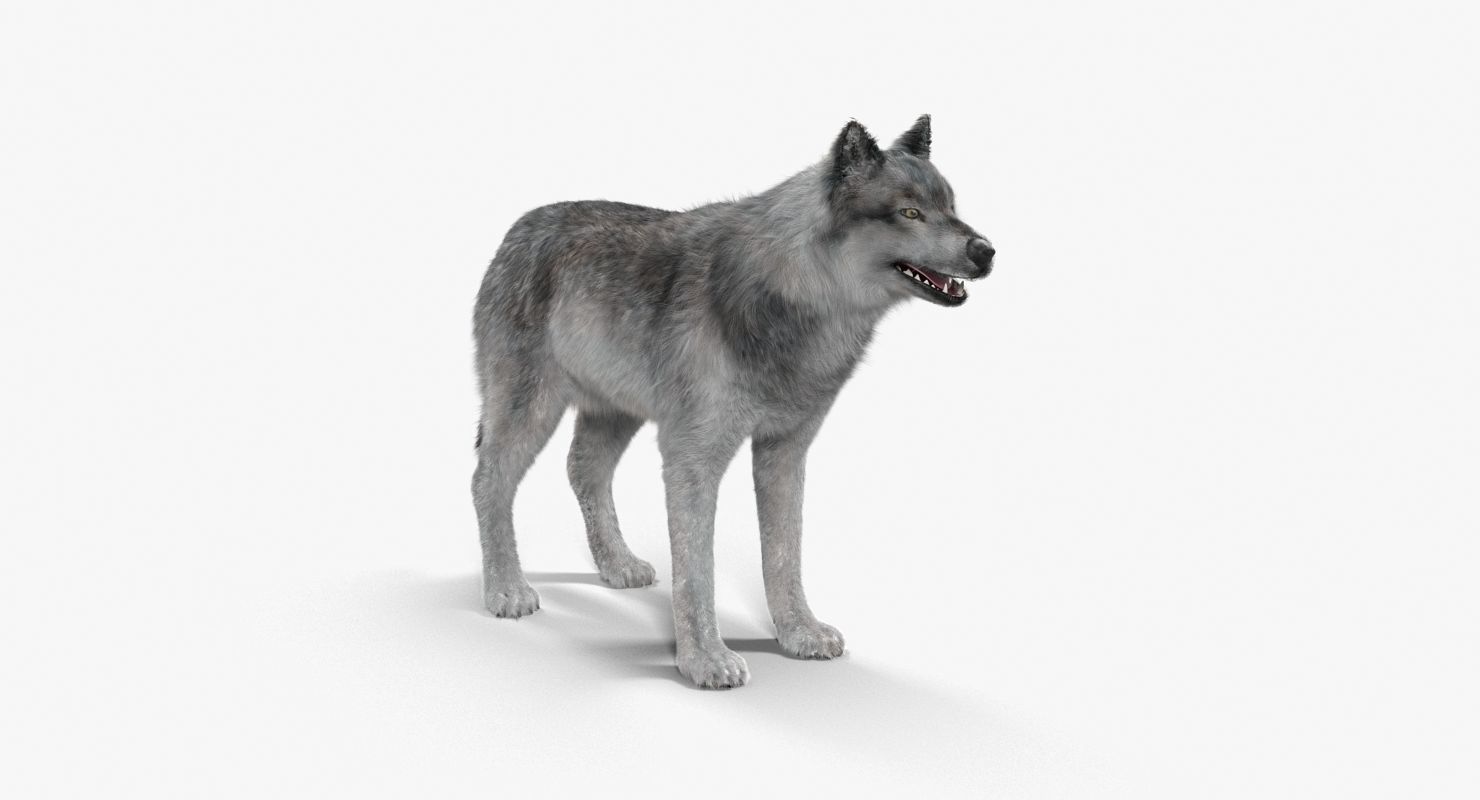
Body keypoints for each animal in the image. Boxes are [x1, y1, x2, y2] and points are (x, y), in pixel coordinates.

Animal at [471, 115, 995, 688]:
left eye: (951, 206)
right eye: (909, 213)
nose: (987, 251)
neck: (796, 292)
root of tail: (519, 227)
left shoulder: (784, 452)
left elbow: (785, 554)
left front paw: (798, 634)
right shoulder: (691, 458)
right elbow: (698, 570)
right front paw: (704, 660)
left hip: (615, 413)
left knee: (582, 469)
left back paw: (618, 566)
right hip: (531, 408)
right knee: (488, 479)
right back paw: (506, 590)